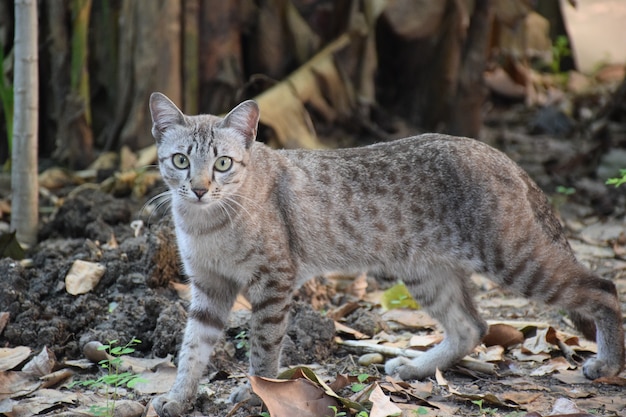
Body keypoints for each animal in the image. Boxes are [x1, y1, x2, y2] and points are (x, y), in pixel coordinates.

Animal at [149, 92, 620, 416]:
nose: (199, 188)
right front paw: (178, 397)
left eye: (223, 164)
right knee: (472, 325)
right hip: (426, 271)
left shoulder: (273, 281)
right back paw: (415, 368)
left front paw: (254, 394)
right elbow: (192, 347)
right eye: (180, 160)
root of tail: (496, 152)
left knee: (603, 286)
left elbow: (263, 352)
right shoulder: (209, 286)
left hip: (514, 259)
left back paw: (608, 364)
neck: (205, 222)